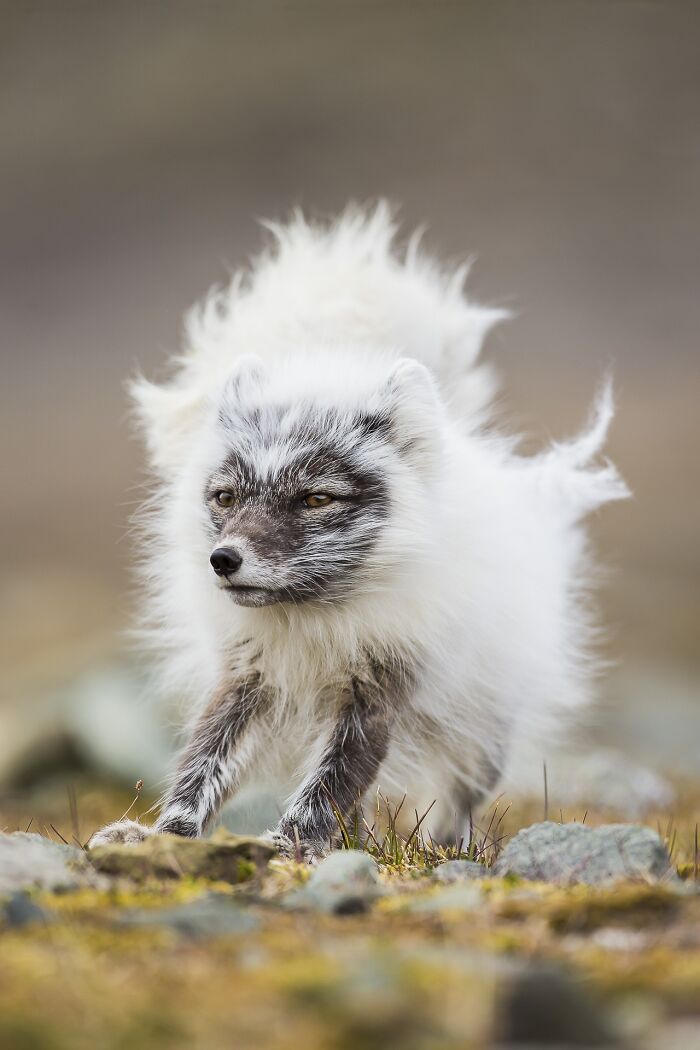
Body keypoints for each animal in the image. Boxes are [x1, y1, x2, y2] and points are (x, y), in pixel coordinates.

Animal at [89, 204, 629, 859]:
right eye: (225, 497)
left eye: (317, 498)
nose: (223, 559)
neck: (313, 621)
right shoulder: (247, 678)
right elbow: (201, 766)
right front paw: (164, 837)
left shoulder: (377, 692)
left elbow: (329, 784)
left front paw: (288, 847)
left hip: (482, 727)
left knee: (459, 791)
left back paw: (447, 849)